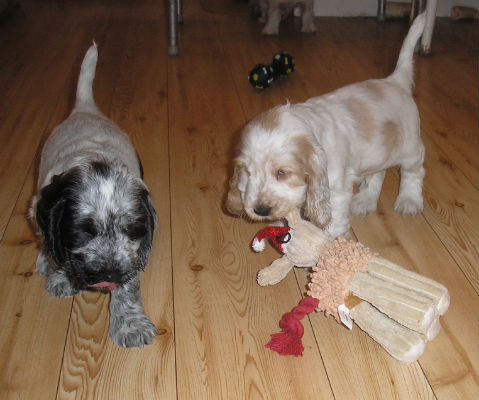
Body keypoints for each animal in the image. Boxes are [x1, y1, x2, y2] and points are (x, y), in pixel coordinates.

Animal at [30, 41, 158, 346]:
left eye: (131, 231)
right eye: (81, 234)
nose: (108, 273)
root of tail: (84, 109)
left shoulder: (130, 252)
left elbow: (128, 281)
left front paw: (130, 325)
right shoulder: (44, 204)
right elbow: (53, 244)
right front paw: (61, 276)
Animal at [228, 14, 428, 239]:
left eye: (282, 173)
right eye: (247, 172)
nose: (261, 210)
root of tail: (395, 81)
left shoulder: (336, 189)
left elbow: (333, 221)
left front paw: (327, 243)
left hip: (410, 148)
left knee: (414, 172)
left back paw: (409, 201)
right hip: (378, 151)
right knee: (378, 173)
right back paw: (365, 201)